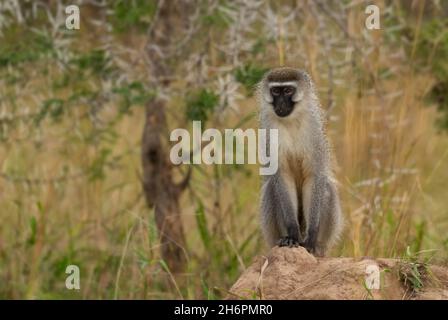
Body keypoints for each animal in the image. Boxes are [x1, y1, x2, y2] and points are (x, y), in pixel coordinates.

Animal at [256, 68, 344, 258]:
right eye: (276, 91)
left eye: (288, 91)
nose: (281, 104)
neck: (291, 121)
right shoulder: (270, 131)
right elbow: (282, 176)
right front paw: (292, 234)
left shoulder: (314, 132)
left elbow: (315, 176)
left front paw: (312, 237)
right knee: (272, 188)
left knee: (326, 187)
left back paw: (317, 246)